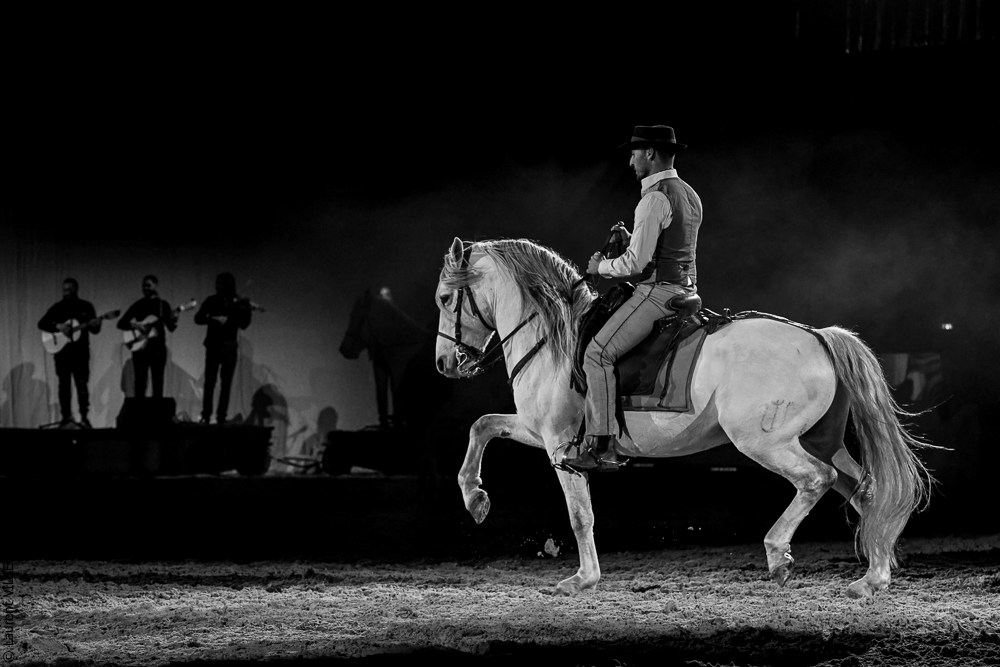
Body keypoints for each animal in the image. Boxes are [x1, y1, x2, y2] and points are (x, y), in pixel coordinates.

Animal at [434, 237, 935, 598]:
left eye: (444, 298)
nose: (445, 364)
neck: (553, 339)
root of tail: (817, 337)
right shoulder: (538, 431)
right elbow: (483, 425)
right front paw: (475, 499)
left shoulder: (560, 444)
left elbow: (580, 515)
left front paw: (582, 579)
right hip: (821, 439)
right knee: (866, 490)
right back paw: (871, 579)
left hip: (767, 443)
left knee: (817, 479)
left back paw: (779, 555)